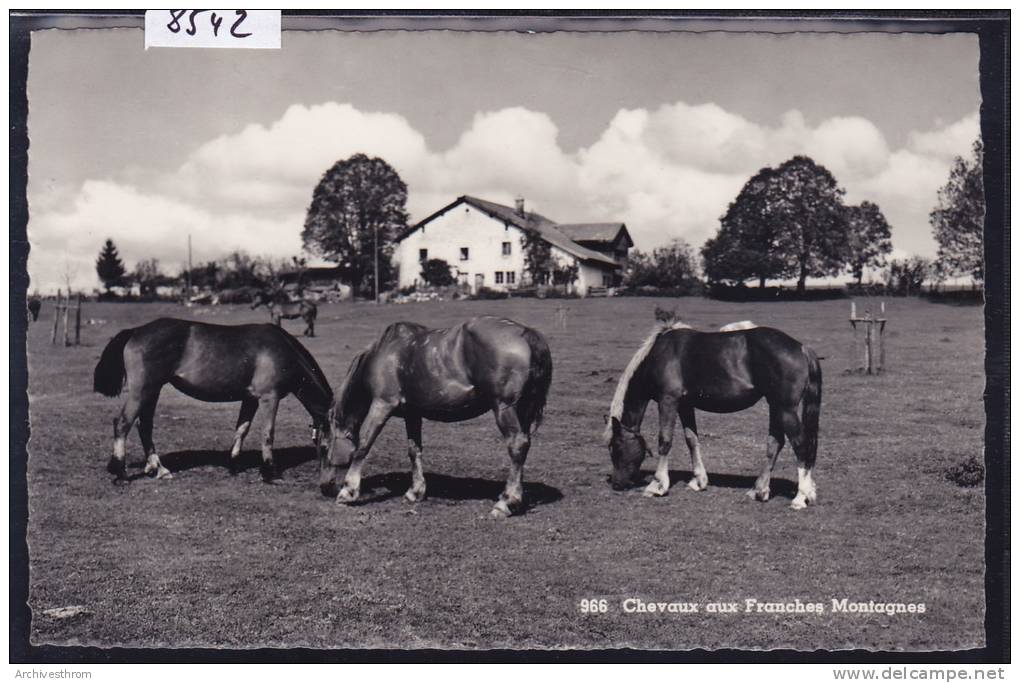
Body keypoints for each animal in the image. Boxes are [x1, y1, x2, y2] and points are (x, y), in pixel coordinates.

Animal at [92, 320, 330, 485]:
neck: (282, 349)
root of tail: (136, 331)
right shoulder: (268, 398)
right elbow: (267, 434)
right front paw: (270, 473)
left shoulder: (250, 399)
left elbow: (242, 429)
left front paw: (233, 464)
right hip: (142, 391)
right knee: (123, 423)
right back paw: (121, 472)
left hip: (152, 391)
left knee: (145, 426)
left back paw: (159, 469)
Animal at [322, 318, 554, 519]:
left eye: (323, 445)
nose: (325, 486)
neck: (386, 353)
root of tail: (525, 333)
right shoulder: (412, 414)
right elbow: (414, 450)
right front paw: (415, 492)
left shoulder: (382, 405)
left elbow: (363, 446)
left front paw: (348, 492)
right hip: (522, 411)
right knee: (523, 446)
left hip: (504, 408)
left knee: (517, 445)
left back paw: (506, 502)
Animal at [603, 322, 820, 507]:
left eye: (617, 447)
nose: (617, 484)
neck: (660, 355)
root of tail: (802, 348)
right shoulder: (685, 405)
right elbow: (691, 439)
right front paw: (698, 481)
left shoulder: (668, 401)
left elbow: (665, 441)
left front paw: (657, 485)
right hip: (775, 406)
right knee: (775, 444)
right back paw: (760, 490)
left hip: (786, 409)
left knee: (801, 446)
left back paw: (801, 497)